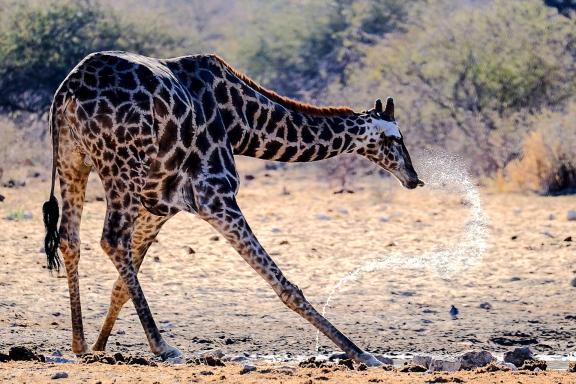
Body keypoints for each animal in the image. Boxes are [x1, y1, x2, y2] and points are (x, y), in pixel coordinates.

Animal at [42, 51, 424, 366]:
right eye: (395, 138)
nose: (414, 178)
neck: (240, 122)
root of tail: (67, 92)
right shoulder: (214, 194)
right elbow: (282, 282)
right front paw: (362, 353)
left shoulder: (159, 205)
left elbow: (121, 285)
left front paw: (100, 345)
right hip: (121, 166)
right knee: (111, 238)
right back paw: (163, 346)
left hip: (74, 161)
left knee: (71, 239)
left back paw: (79, 343)